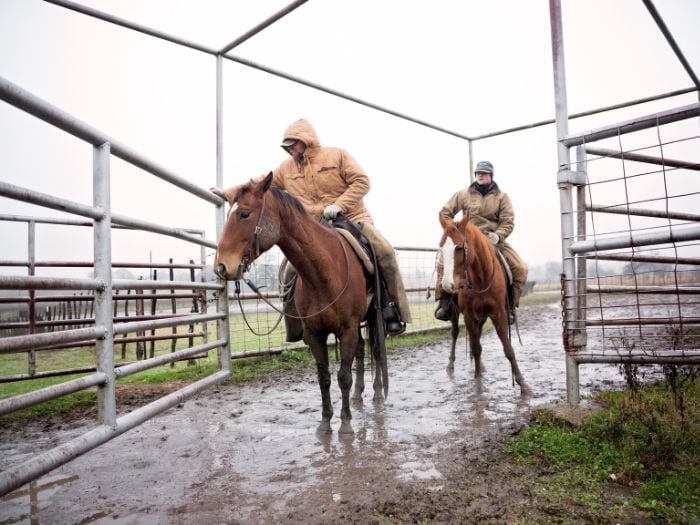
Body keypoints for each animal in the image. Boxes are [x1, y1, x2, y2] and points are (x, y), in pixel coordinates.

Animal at [215, 174, 388, 432]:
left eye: (244, 214)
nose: (222, 266)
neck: (324, 273)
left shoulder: (347, 329)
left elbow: (343, 377)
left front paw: (345, 424)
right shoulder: (315, 334)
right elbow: (324, 377)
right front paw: (325, 422)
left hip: (373, 320)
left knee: (376, 350)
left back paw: (376, 393)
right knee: (361, 349)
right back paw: (358, 395)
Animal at [438, 213, 532, 392]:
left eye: (459, 248)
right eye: (441, 248)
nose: (447, 285)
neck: (481, 278)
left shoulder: (498, 313)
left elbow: (507, 349)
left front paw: (522, 383)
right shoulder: (468, 315)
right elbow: (476, 348)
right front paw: (478, 380)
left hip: (481, 316)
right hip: (455, 313)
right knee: (455, 333)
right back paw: (450, 365)